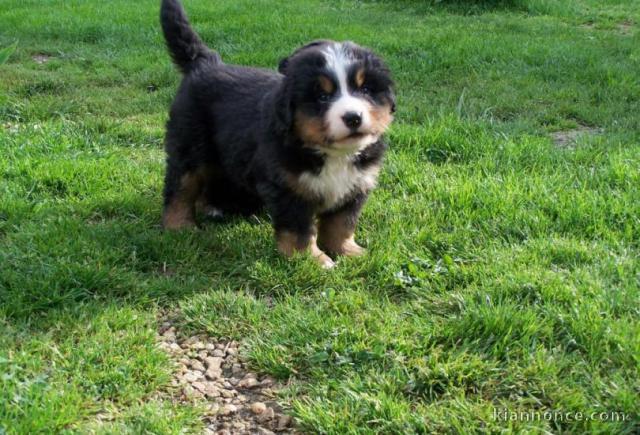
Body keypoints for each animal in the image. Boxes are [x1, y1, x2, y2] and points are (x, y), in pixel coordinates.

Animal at [160, 0, 395, 268]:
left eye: (365, 89)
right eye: (322, 96)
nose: (353, 117)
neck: (330, 153)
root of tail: (206, 62)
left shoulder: (355, 185)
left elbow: (341, 224)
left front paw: (348, 252)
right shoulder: (290, 188)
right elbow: (299, 230)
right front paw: (312, 260)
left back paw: (216, 208)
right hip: (190, 147)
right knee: (181, 187)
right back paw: (179, 225)